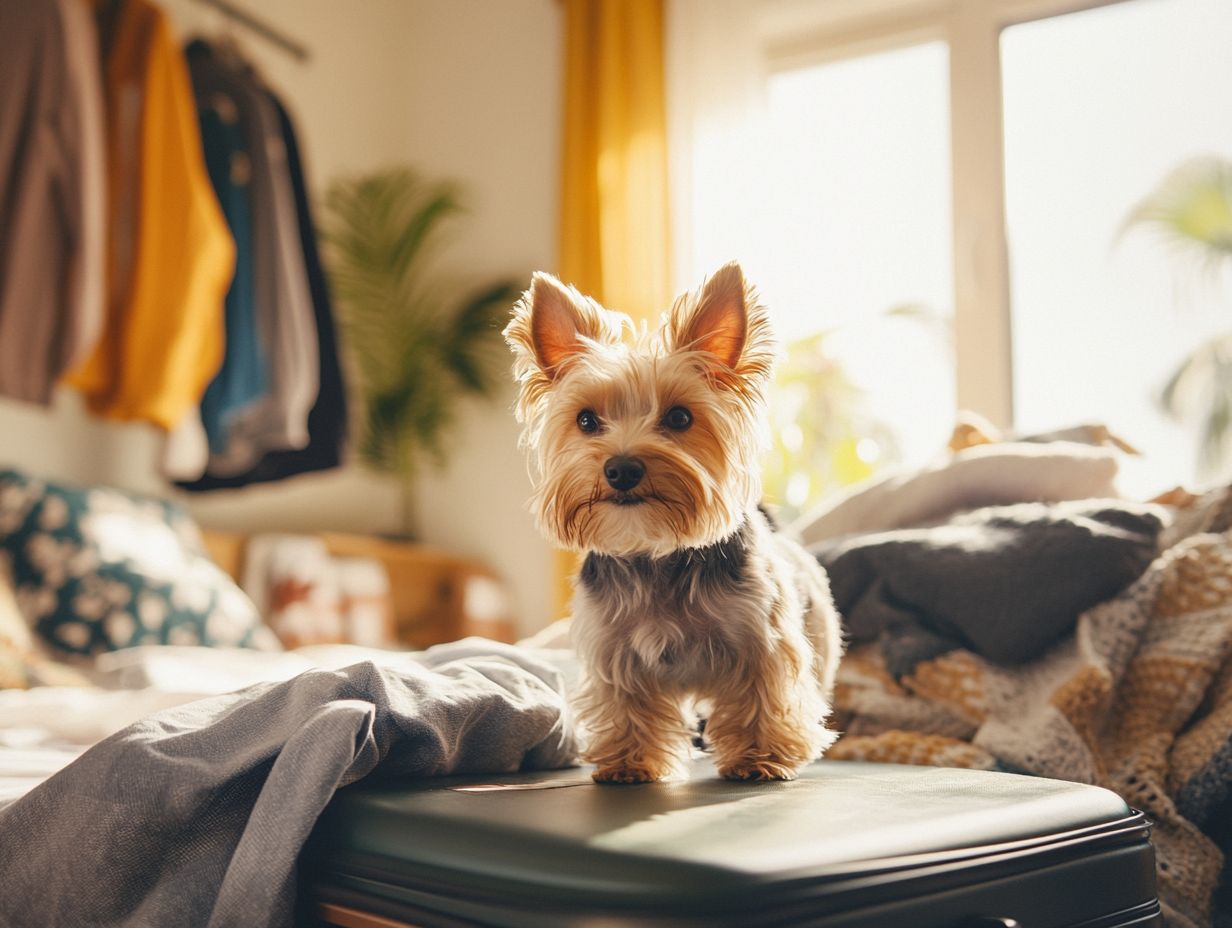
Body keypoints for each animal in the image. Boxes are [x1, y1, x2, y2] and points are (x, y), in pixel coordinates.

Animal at [505, 261, 842, 783]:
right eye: (586, 420)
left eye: (680, 417)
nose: (622, 469)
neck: (655, 552)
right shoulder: (614, 650)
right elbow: (626, 706)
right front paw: (628, 761)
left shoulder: (761, 642)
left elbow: (762, 697)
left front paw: (759, 757)